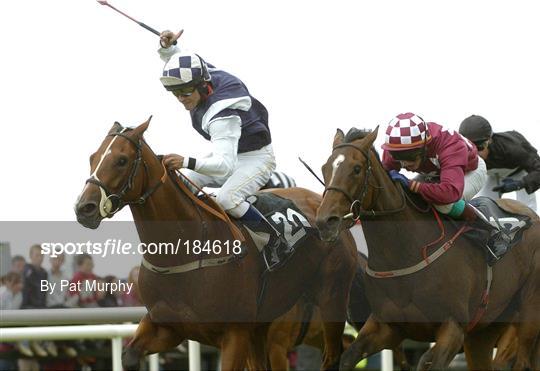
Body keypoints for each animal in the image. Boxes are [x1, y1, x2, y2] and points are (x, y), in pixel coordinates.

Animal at [73, 118, 358, 370]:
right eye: (92, 158)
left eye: (121, 160)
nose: (84, 208)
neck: (183, 252)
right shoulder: (166, 326)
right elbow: (130, 356)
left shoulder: (236, 334)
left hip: (332, 297)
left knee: (333, 356)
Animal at [316, 129, 540, 371]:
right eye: (325, 167)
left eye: (356, 169)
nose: (325, 222)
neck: (404, 252)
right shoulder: (386, 326)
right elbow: (349, 357)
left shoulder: (453, 328)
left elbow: (426, 360)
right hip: (484, 331)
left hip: (528, 315)